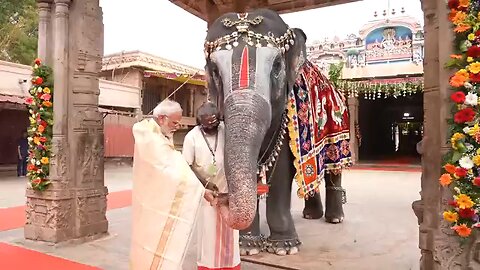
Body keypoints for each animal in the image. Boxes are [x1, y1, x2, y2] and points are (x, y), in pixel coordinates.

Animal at [202, 8, 352, 256]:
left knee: (333, 168)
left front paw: (284, 247)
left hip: (340, 127)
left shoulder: (288, 114)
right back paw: (311, 215)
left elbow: (282, 168)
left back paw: (335, 219)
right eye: (214, 70)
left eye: (277, 65)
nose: (219, 199)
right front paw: (247, 246)